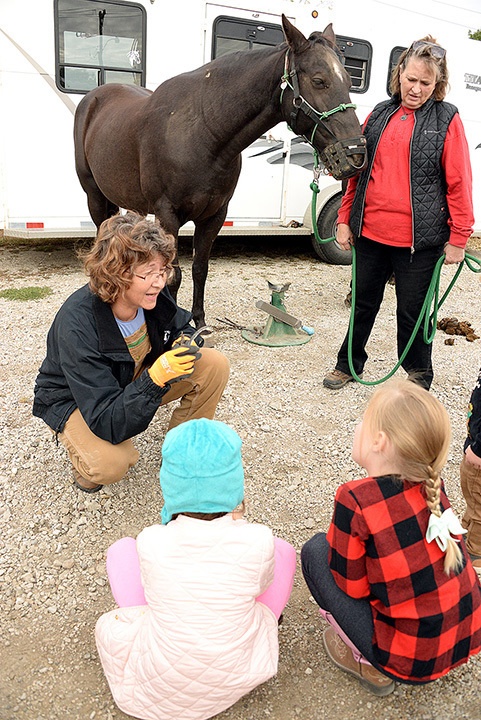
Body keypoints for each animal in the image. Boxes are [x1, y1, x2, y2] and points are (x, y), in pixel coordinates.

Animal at [74, 16, 364, 326]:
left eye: (349, 81)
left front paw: (199, 322)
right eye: (319, 81)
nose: (356, 153)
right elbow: (172, 276)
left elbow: (200, 269)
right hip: (94, 195)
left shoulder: (214, 215)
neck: (202, 132)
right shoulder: (167, 215)